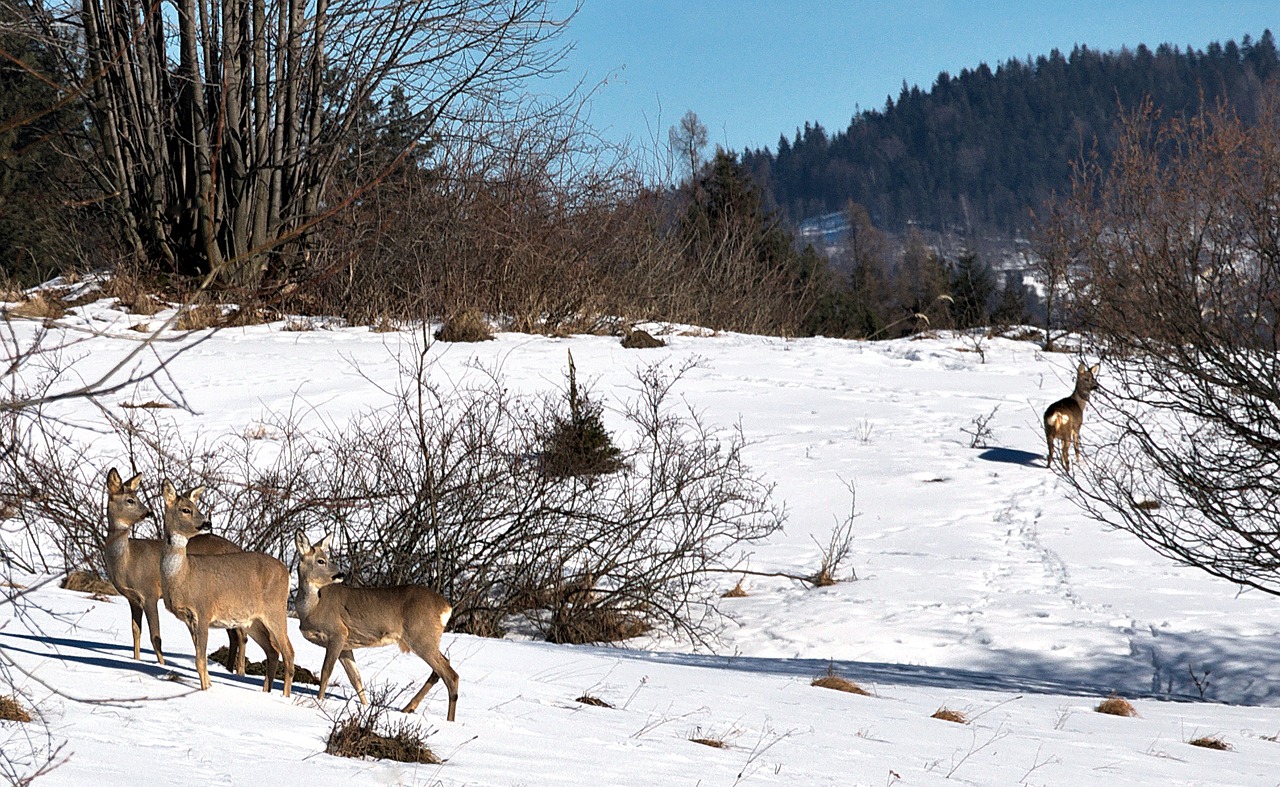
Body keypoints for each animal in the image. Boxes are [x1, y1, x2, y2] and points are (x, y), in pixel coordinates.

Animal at [101, 468, 247, 670]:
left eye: (136, 497)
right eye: (130, 500)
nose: (148, 512)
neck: (127, 562)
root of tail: (239, 549)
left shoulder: (149, 593)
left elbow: (155, 637)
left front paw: (161, 665)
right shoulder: (133, 599)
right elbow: (135, 632)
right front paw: (136, 660)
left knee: (241, 635)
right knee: (234, 634)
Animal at [158, 481, 293, 696]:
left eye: (197, 507)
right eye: (186, 509)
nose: (207, 523)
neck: (184, 576)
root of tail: (287, 572)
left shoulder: (203, 611)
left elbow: (200, 660)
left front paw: (205, 690)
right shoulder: (189, 619)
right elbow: (200, 658)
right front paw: (209, 685)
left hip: (276, 610)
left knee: (289, 653)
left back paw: (284, 696)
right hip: (253, 621)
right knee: (273, 651)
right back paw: (266, 692)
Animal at [294, 532, 460, 721]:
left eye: (326, 558)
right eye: (321, 560)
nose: (340, 574)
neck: (312, 608)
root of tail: (446, 607)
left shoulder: (338, 633)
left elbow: (326, 671)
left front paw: (319, 702)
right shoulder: (346, 645)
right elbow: (356, 678)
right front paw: (366, 707)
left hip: (421, 636)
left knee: (450, 674)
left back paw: (448, 720)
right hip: (426, 638)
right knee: (441, 668)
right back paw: (408, 708)